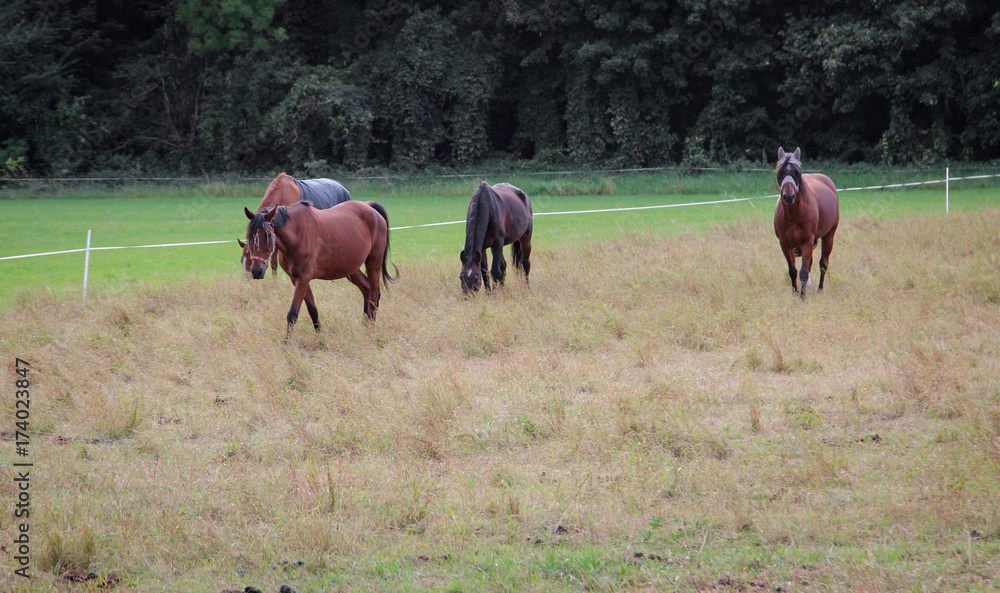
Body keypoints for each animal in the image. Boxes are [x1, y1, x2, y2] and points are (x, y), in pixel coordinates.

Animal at [243, 200, 398, 341]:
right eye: (249, 235)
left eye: (268, 235)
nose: (256, 271)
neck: (298, 234)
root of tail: (369, 206)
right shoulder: (296, 279)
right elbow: (312, 310)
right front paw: (320, 338)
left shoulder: (304, 278)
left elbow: (293, 314)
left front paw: (287, 344)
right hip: (351, 269)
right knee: (366, 289)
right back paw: (365, 325)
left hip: (373, 264)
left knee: (373, 296)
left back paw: (371, 331)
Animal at [773, 147, 840, 299]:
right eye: (780, 171)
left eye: (797, 172)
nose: (788, 196)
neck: (793, 214)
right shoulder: (785, 244)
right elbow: (793, 271)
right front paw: (795, 294)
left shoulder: (807, 241)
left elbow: (803, 272)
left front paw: (802, 297)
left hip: (828, 236)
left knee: (823, 264)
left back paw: (819, 289)